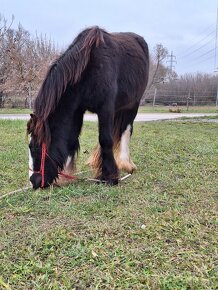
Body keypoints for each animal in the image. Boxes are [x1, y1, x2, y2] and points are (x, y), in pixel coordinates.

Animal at [27, 26, 149, 189]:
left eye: (35, 147)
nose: (34, 181)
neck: (88, 70)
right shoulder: (77, 110)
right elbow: (72, 139)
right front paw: (66, 175)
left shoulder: (105, 109)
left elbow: (106, 139)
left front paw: (109, 177)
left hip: (132, 105)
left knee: (126, 130)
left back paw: (125, 164)